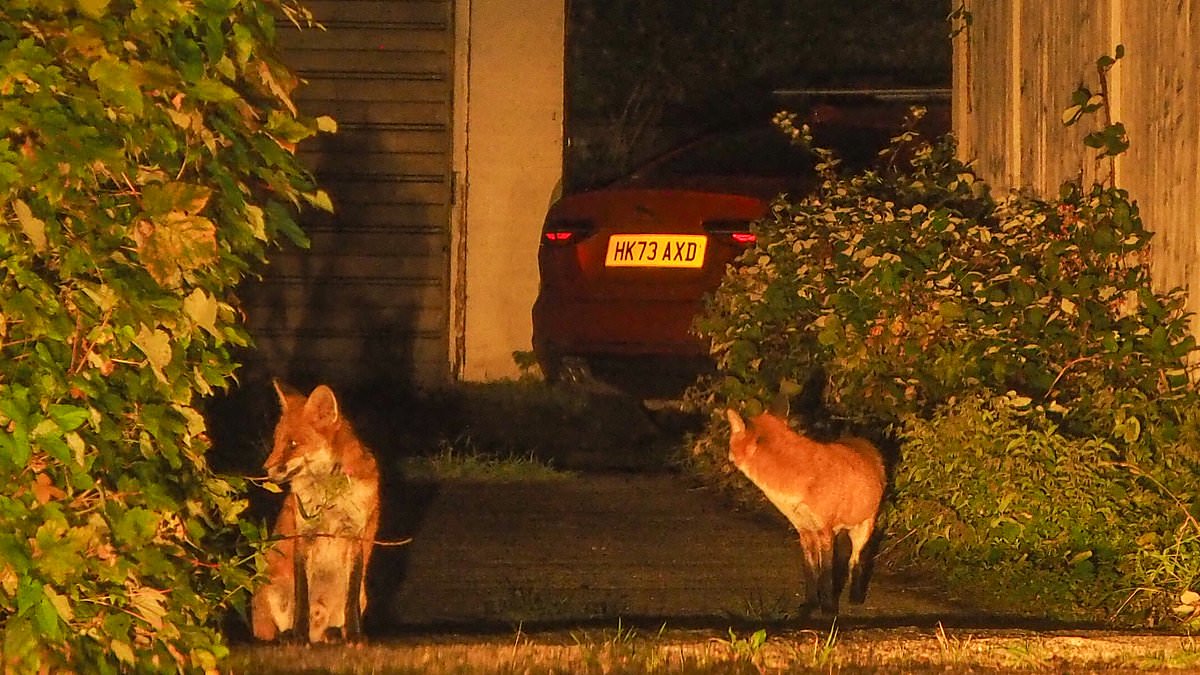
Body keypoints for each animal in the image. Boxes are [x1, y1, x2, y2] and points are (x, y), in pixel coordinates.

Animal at [251, 382, 381, 644]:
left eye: (292, 444)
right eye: (276, 442)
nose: (264, 470)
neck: (329, 495)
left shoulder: (355, 536)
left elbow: (350, 601)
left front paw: (354, 635)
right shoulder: (305, 535)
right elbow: (302, 598)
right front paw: (298, 636)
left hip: (362, 596)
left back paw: (333, 633)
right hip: (273, 589)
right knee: (274, 629)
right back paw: (288, 635)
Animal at [726, 408, 885, 615]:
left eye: (731, 443)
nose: (728, 458)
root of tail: (864, 441)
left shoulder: (825, 530)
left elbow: (826, 573)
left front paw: (828, 608)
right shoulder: (805, 530)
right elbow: (811, 571)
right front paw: (810, 604)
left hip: (863, 529)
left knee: (855, 561)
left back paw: (855, 597)